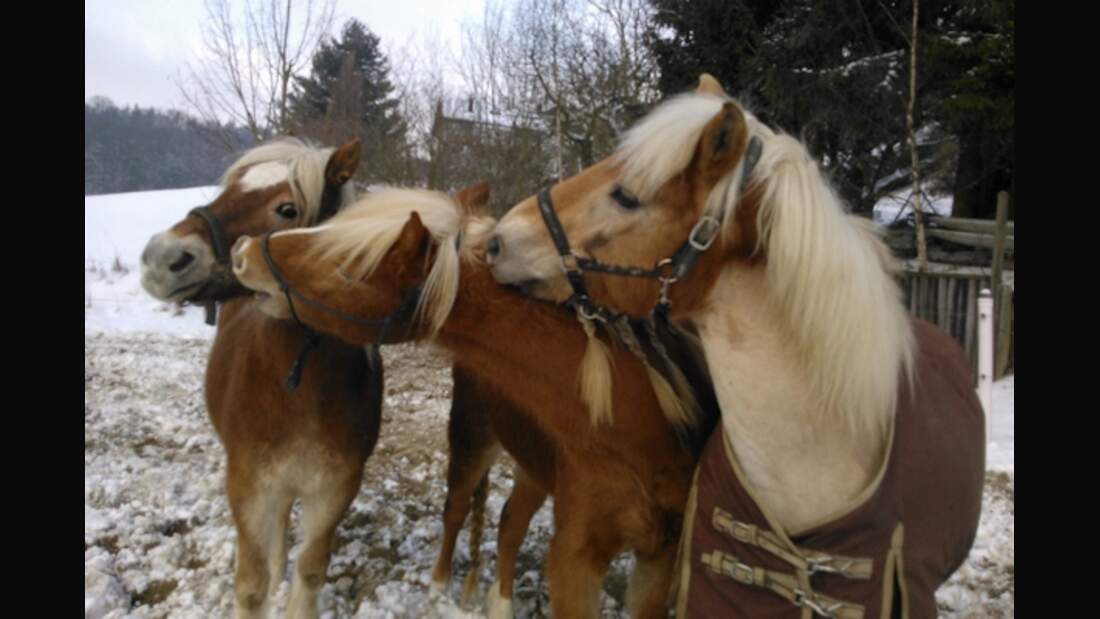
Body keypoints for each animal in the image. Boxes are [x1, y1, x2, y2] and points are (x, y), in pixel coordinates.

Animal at [227, 185, 717, 619]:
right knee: (459, 511)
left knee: (509, 525)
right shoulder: (576, 557)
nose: (243, 251)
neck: (631, 417)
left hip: (532, 463)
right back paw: (440, 589)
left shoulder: (659, 558)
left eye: (339, 265)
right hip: (471, 441)